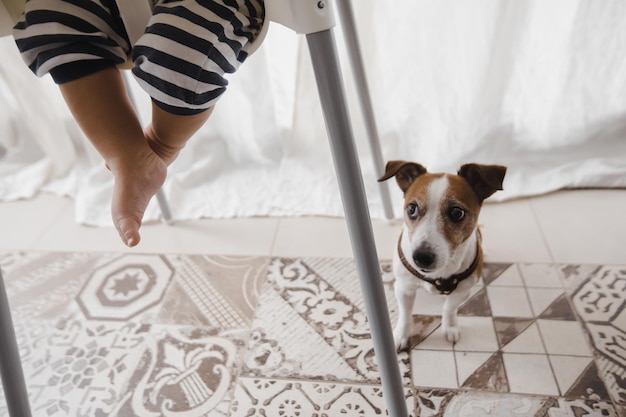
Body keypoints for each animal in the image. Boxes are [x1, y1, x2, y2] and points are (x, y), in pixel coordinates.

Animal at [376, 161, 508, 350]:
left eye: (457, 212)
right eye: (412, 208)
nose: (421, 257)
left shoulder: (463, 290)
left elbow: (449, 308)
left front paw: (450, 327)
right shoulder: (404, 288)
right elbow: (405, 314)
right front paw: (400, 335)